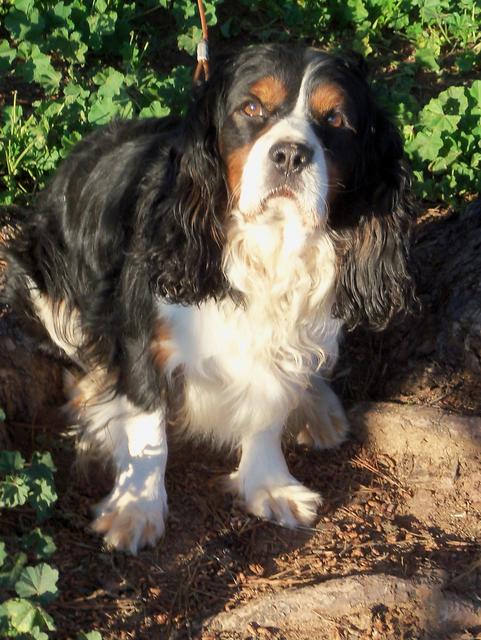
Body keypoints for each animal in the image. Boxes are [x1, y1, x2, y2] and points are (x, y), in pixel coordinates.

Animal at [0, 45, 412, 552]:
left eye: (335, 119)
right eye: (251, 108)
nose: (290, 154)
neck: (267, 246)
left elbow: (269, 406)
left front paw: (269, 484)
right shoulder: (144, 333)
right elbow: (146, 424)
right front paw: (136, 508)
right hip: (42, 277)